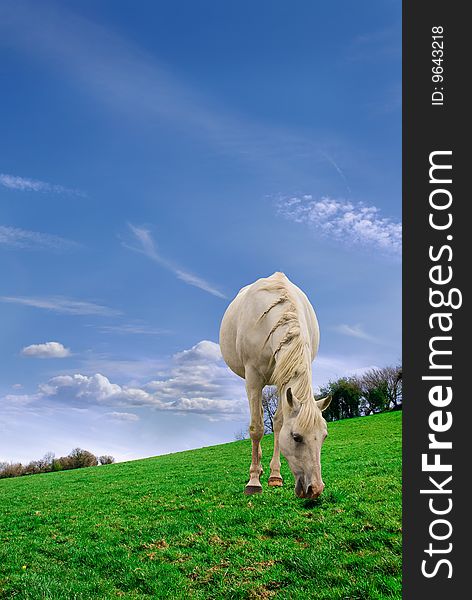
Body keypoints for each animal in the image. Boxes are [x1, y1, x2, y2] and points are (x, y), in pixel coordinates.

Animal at [218, 272, 332, 496]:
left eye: (324, 436)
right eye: (296, 437)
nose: (315, 489)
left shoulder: (283, 382)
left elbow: (278, 424)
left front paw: (275, 476)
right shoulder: (253, 377)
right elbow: (256, 428)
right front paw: (254, 481)